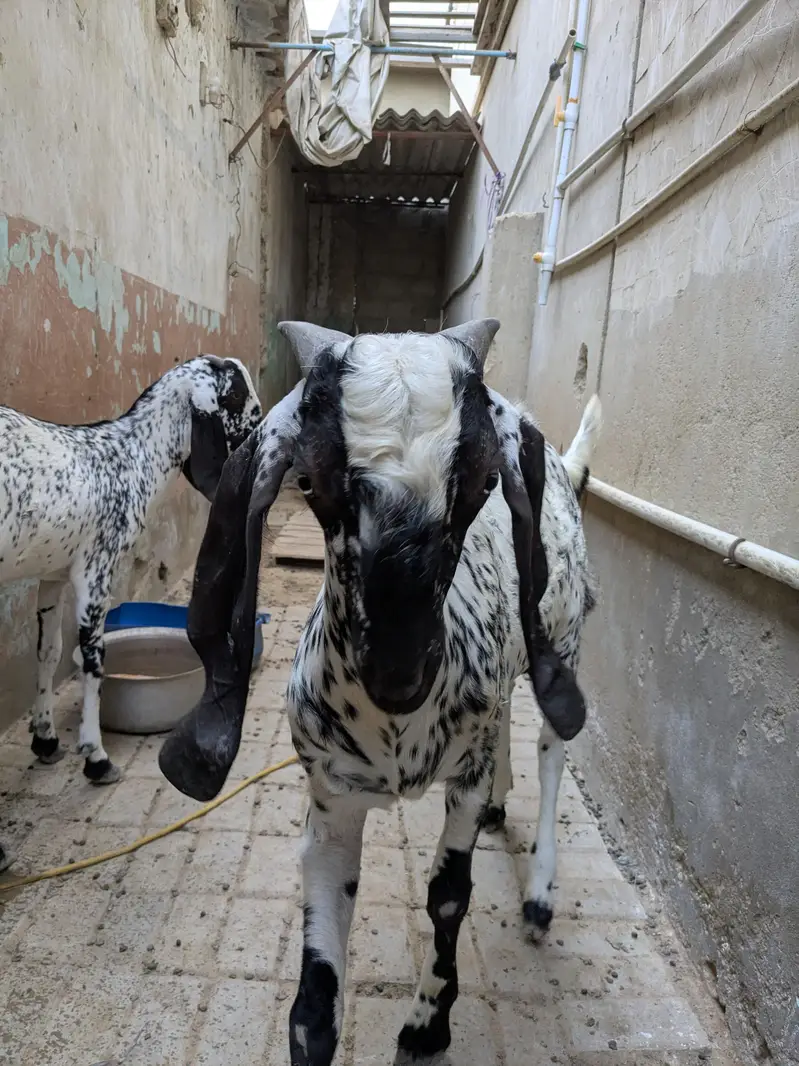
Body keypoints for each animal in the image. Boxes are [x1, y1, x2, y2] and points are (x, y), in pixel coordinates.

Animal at [0, 355, 261, 822]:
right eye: (235, 394)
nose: (261, 422)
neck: (129, 458)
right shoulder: (95, 569)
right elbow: (92, 660)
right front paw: (96, 758)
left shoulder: (53, 573)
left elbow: (48, 652)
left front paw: (45, 740)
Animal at [158, 320, 600, 1065]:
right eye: (311, 481)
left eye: (485, 481)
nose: (399, 675)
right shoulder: (331, 800)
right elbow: (312, 1007)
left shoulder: (464, 776)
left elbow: (449, 895)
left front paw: (427, 1025)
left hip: (562, 642)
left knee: (549, 745)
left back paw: (540, 890)